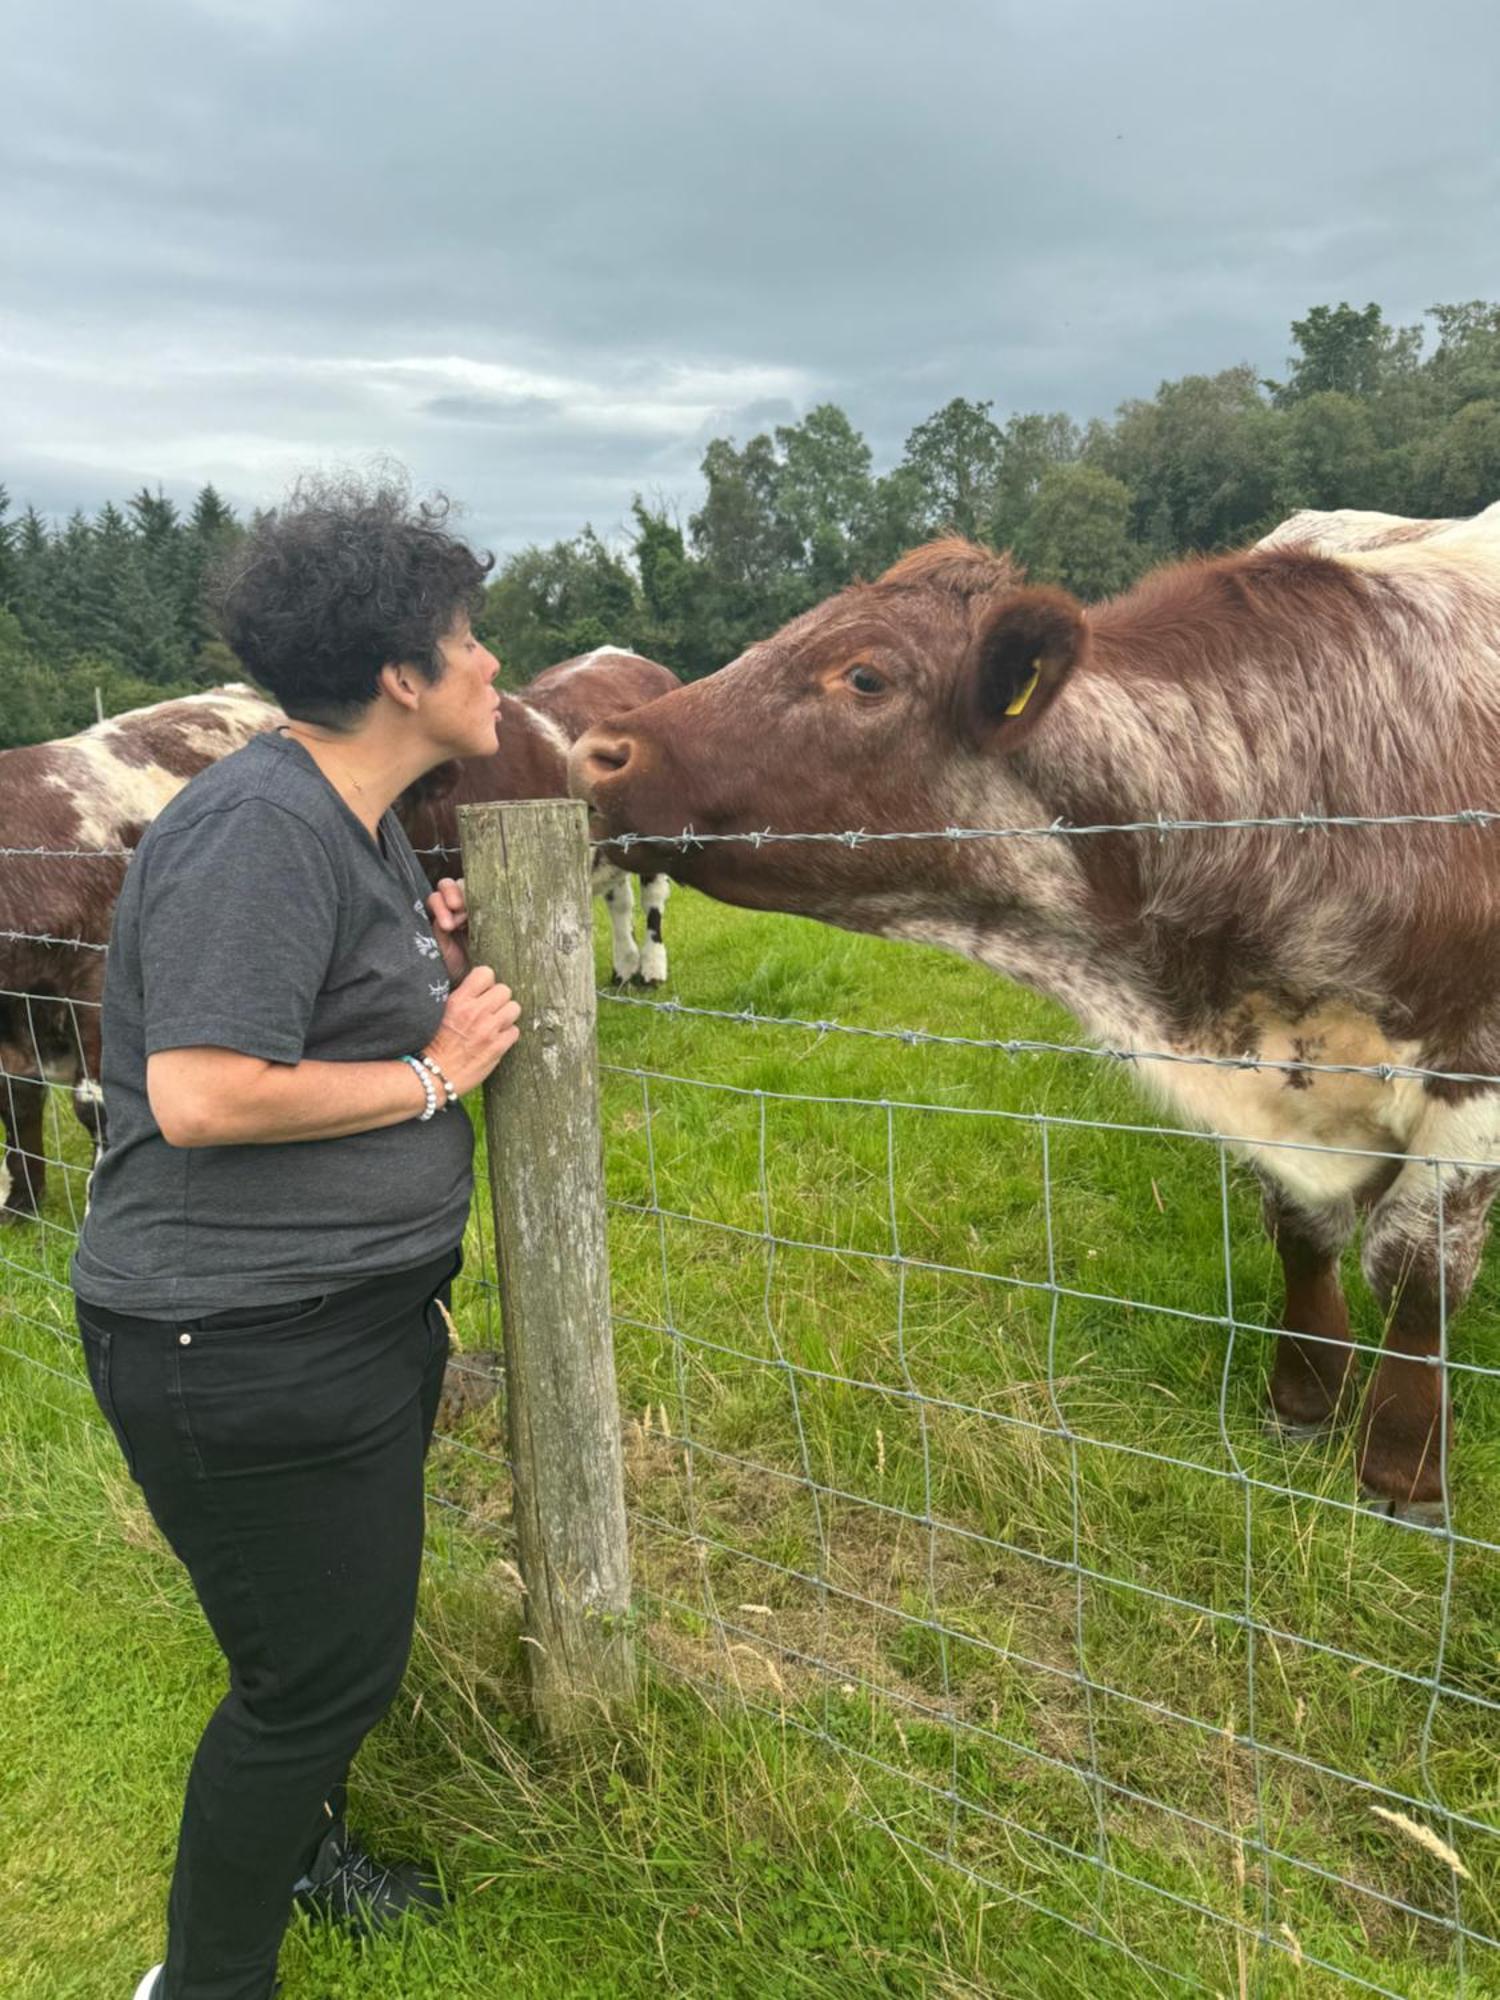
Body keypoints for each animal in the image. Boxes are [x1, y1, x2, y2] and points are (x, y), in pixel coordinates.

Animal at [572, 500, 1500, 1512]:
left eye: (866, 675)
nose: (597, 751)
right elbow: (1301, 1230)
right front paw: (1302, 1398)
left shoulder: (1475, 1083)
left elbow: (1416, 1272)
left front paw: (1403, 1463)